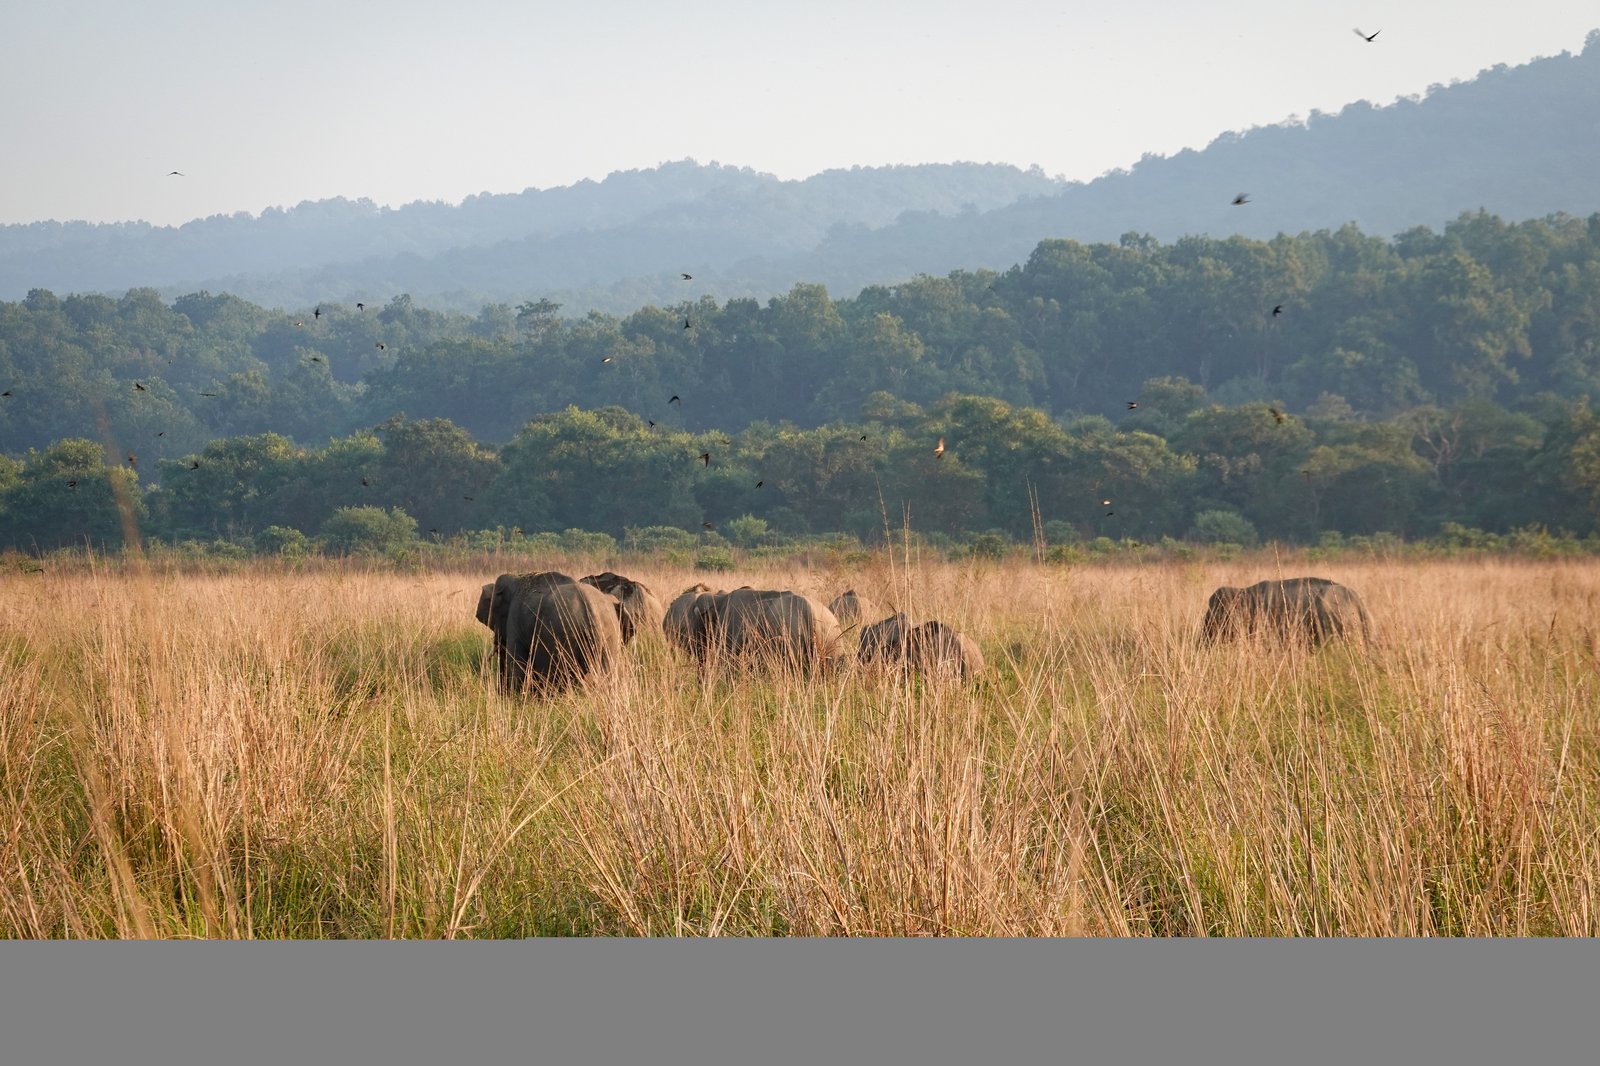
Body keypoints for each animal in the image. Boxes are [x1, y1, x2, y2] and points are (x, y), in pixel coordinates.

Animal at [475, 571, 625, 693]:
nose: (500, 692)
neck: (517, 577)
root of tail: (590, 609)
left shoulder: (514, 619)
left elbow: (516, 663)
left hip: (561, 636)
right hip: (610, 635)